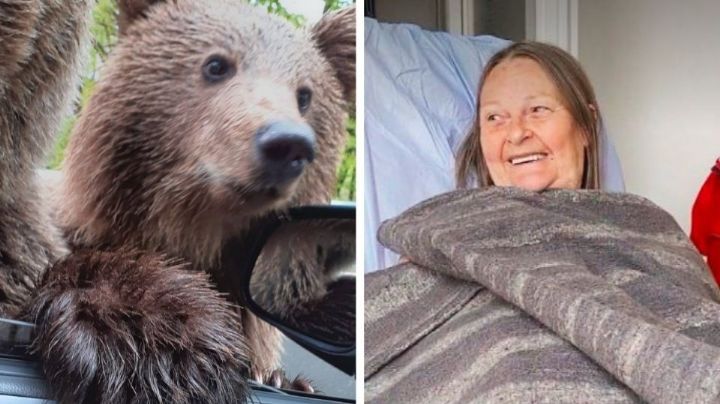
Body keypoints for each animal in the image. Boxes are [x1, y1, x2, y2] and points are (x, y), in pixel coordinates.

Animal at [26, 0, 356, 403]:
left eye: (305, 95)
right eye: (216, 65)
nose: (287, 143)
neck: (194, 231)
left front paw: (280, 376)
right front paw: (164, 345)